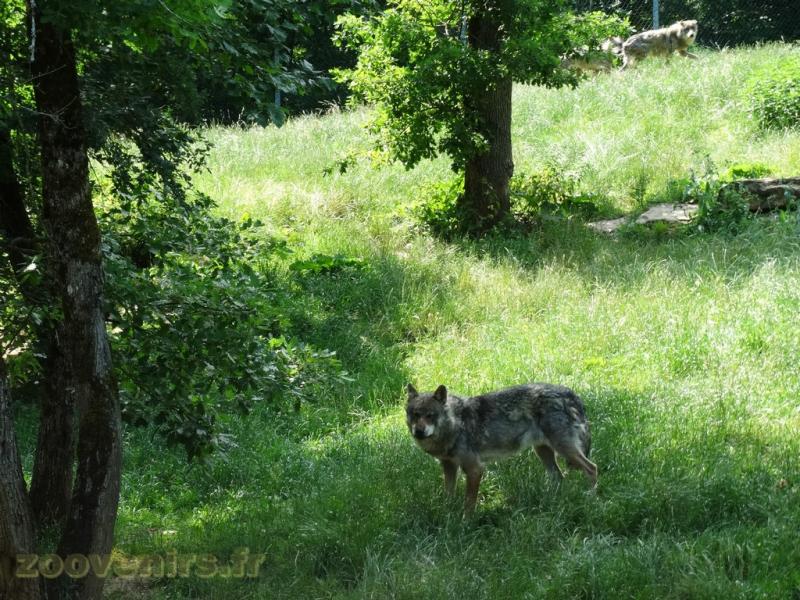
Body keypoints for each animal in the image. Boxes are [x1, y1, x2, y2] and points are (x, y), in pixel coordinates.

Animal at [406, 383, 597, 515]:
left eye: (430, 416)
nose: (419, 431)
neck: (456, 424)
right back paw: (549, 502)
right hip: (543, 451)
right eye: (415, 415)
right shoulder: (449, 466)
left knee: (592, 468)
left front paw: (465, 523)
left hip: (565, 450)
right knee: (559, 477)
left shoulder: (475, 469)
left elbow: (469, 503)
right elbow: (448, 495)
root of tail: (569, 393)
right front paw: (447, 515)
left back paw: (591, 496)